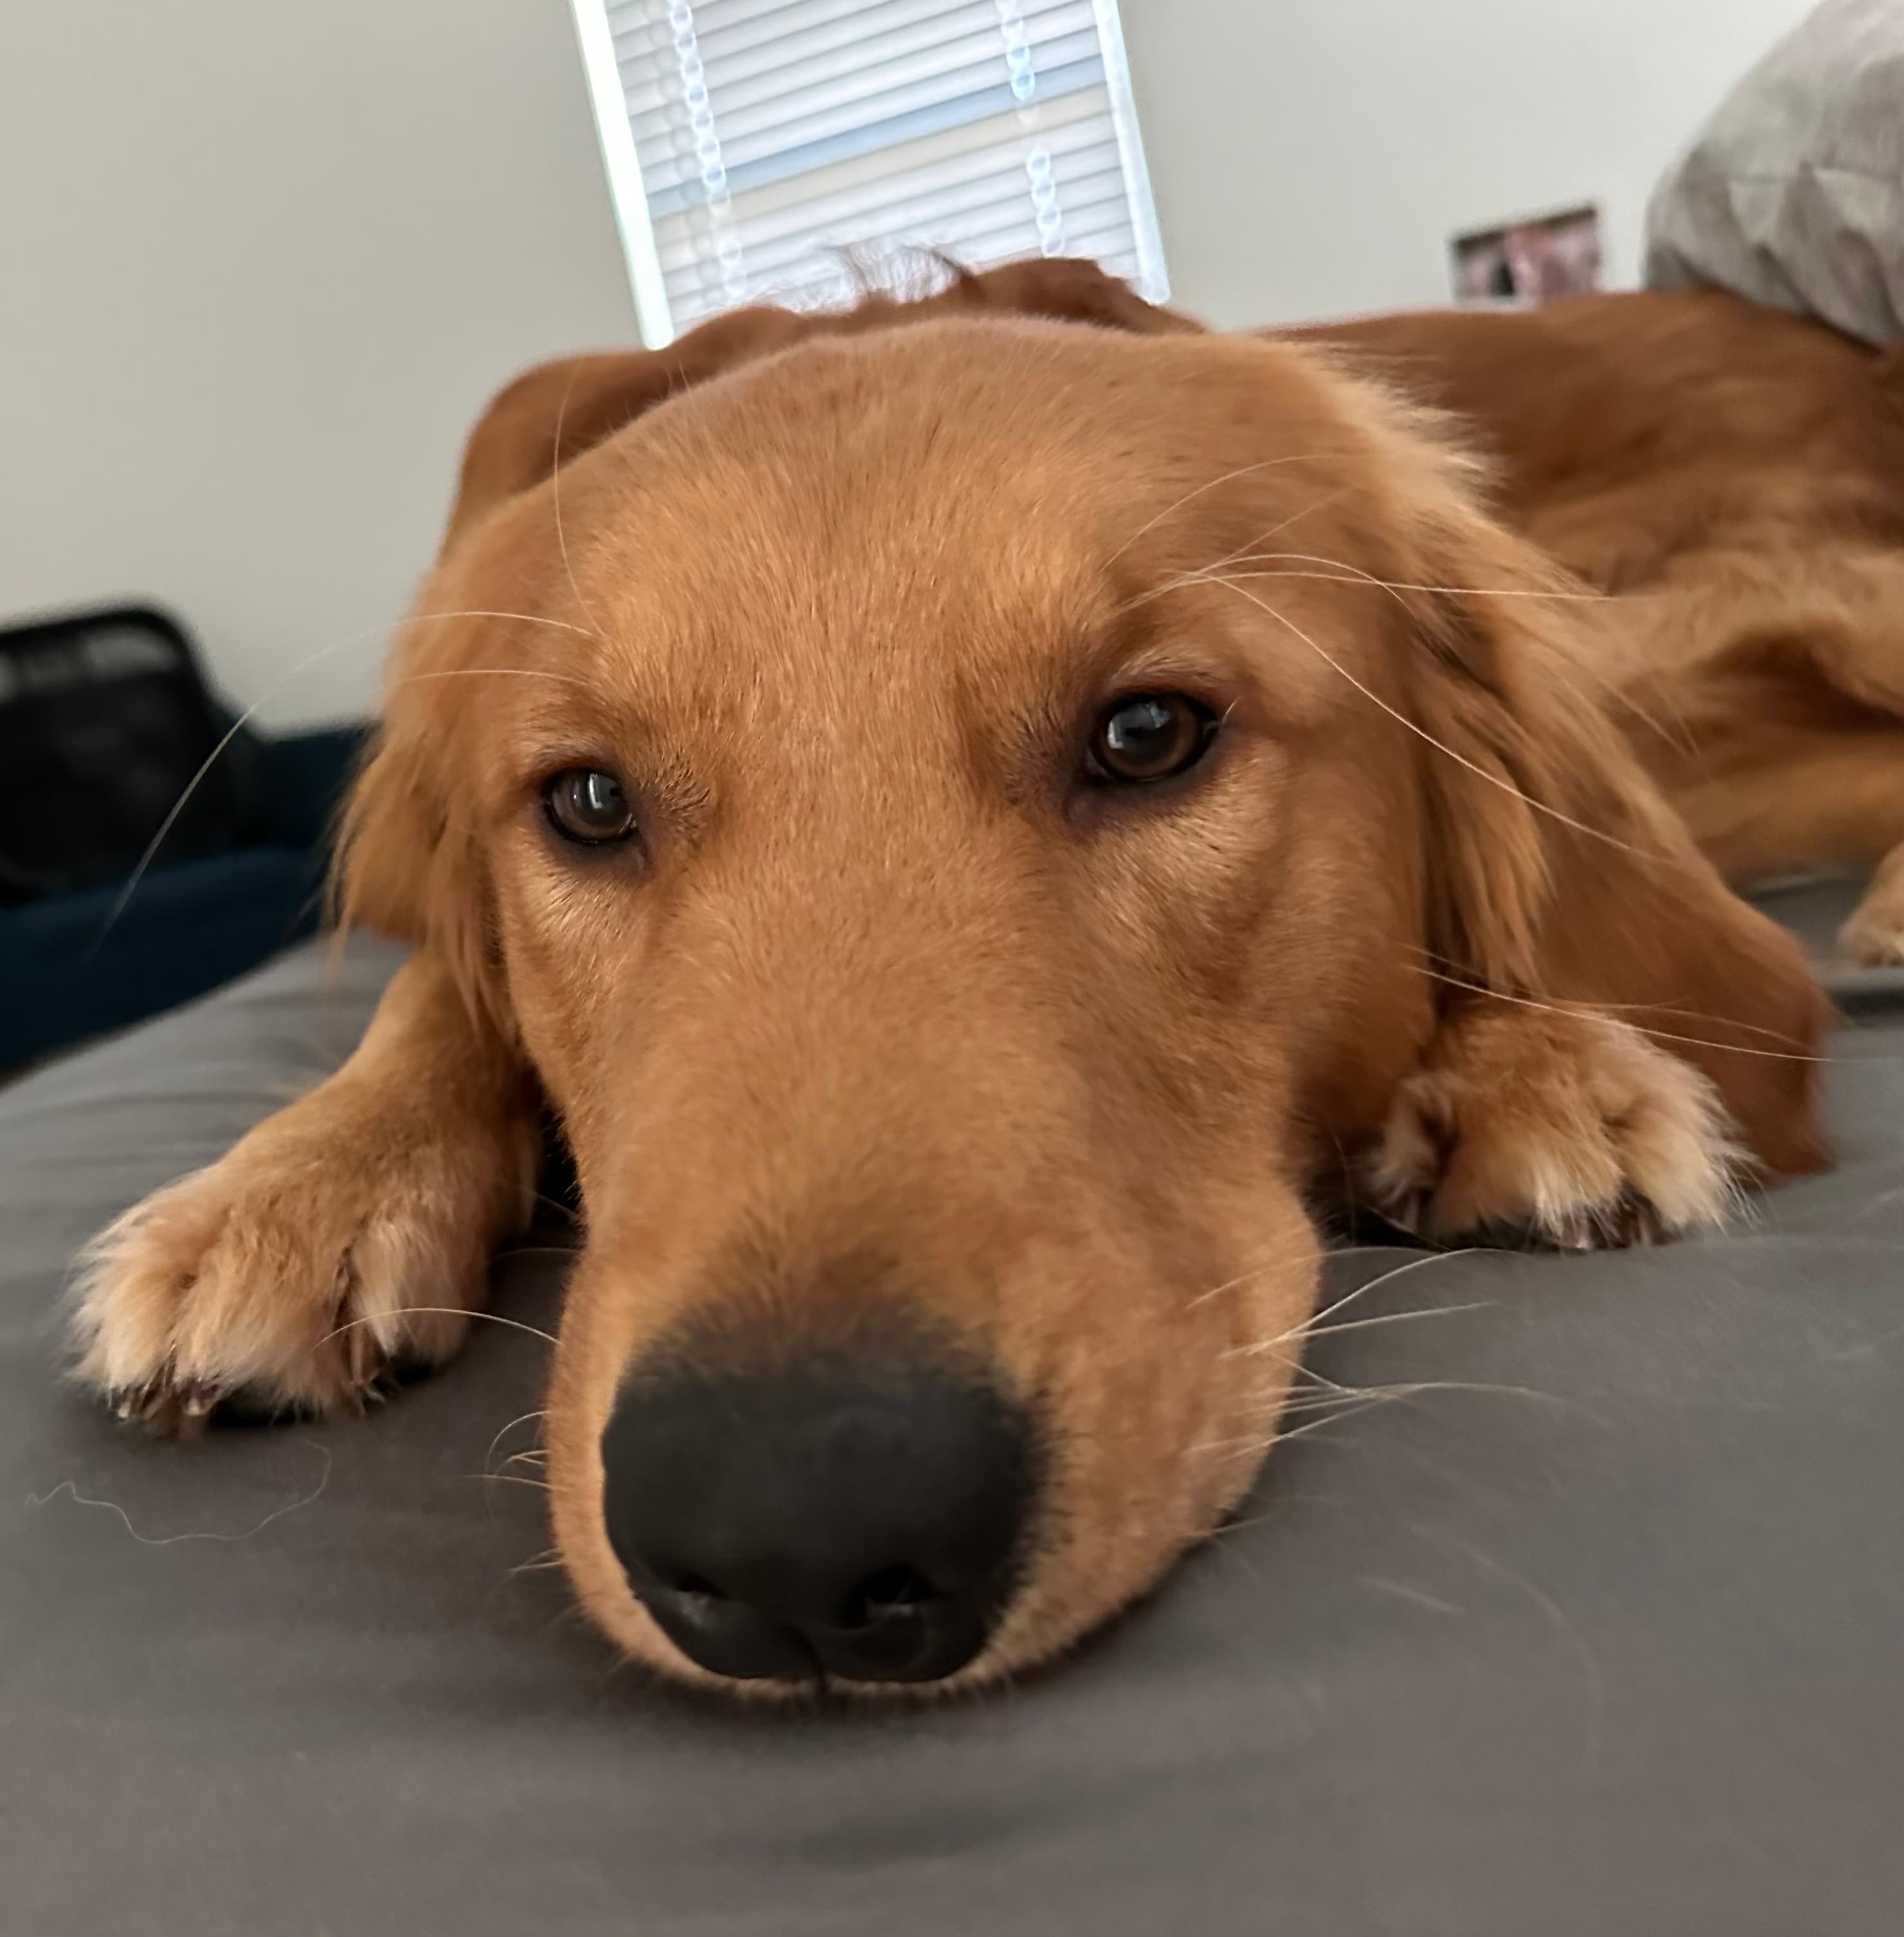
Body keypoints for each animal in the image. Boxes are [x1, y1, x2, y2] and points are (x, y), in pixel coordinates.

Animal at [75, 261, 1844, 1697]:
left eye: (1148, 733)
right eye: (584, 801)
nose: (791, 1529)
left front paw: (1533, 1060)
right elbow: (433, 986)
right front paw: (296, 1189)